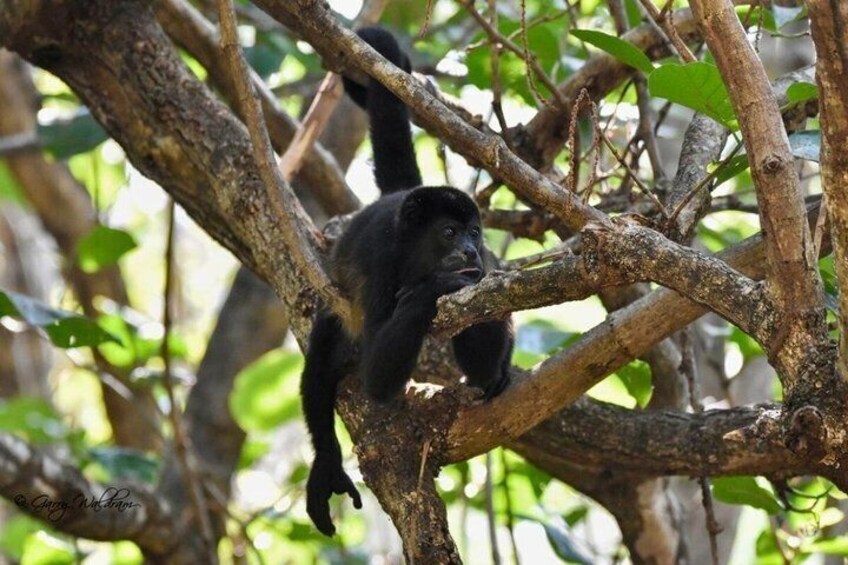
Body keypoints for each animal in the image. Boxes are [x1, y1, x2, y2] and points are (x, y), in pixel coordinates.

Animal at [300, 27, 513, 536]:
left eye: (475, 232)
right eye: (450, 232)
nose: (469, 250)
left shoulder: (489, 263)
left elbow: (481, 363)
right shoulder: (382, 261)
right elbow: (378, 377)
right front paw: (438, 287)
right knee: (320, 364)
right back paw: (327, 466)